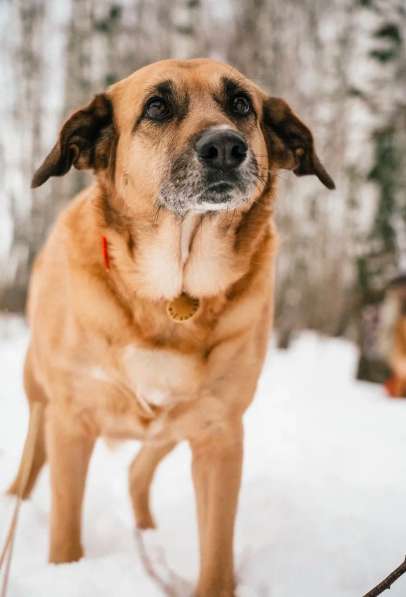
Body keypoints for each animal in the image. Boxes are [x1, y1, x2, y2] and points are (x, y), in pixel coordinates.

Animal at [8, 57, 334, 596]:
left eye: (241, 104)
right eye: (157, 107)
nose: (225, 147)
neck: (171, 292)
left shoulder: (219, 434)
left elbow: (217, 554)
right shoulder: (71, 420)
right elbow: (65, 533)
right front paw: (66, 573)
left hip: (170, 428)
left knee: (137, 471)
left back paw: (148, 538)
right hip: (40, 401)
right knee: (31, 467)